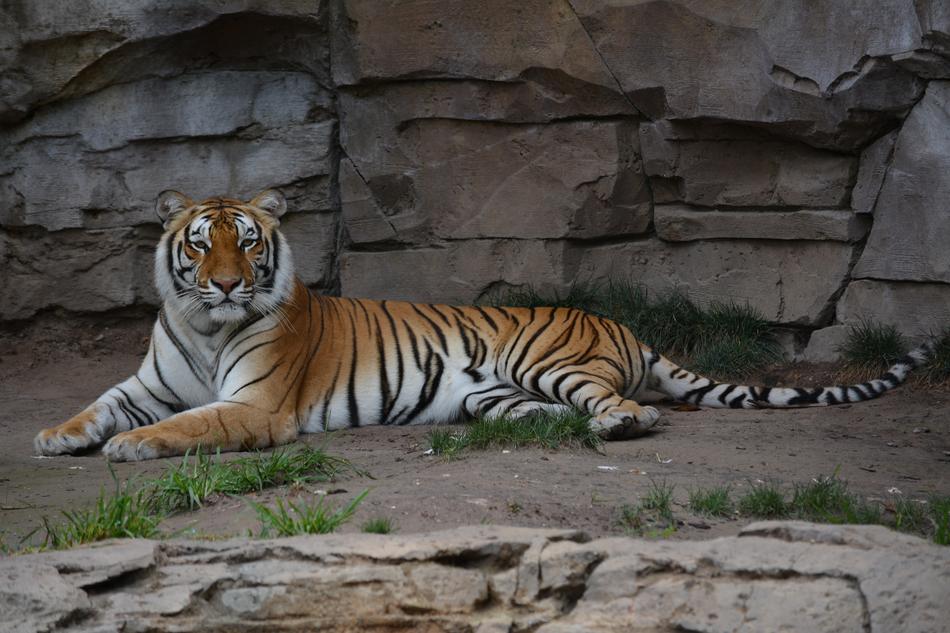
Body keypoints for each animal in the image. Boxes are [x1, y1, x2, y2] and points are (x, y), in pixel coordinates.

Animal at [33, 189, 933, 461]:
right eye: (200, 241)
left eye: (248, 241)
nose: (224, 282)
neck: (205, 325)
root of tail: (625, 329)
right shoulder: (147, 382)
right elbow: (100, 404)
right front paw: (55, 434)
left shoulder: (255, 404)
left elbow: (190, 422)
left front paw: (133, 446)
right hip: (492, 394)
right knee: (556, 413)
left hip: (549, 360)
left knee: (625, 404)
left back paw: (622, 425)